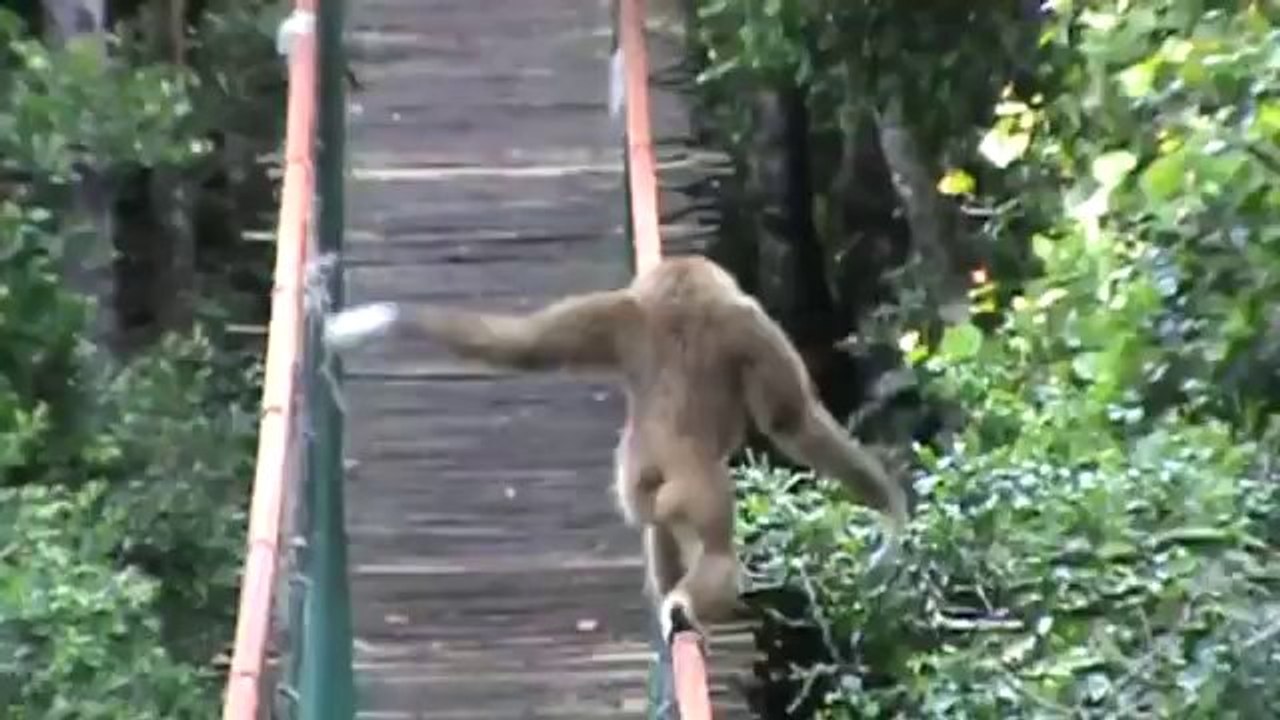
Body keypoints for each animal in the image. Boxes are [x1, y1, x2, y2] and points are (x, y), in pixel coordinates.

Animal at [324, 255, 909, 642]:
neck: (681, 296)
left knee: (659, 529)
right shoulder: (746, 319)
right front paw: (892, 511)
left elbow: (524, 344)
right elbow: (791, 419)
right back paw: (684, 606)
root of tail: (663, 461)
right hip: (700, 487)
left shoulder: (623, 311)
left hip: (641, 484)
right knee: (719, 553)